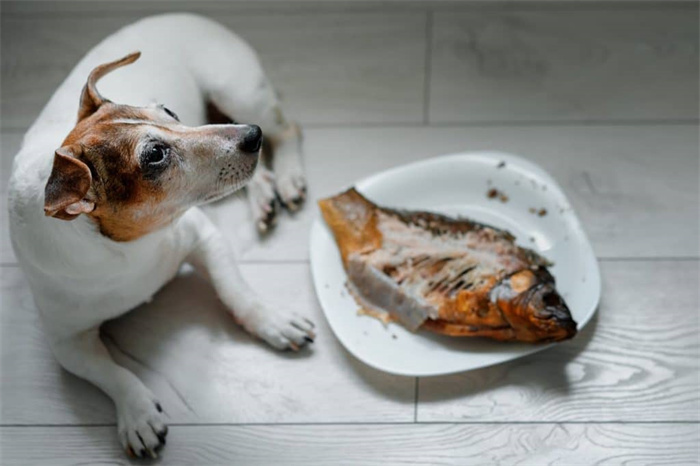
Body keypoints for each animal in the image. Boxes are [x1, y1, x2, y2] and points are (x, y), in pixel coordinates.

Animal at [7, 13, 314, 458]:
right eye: (155, 155)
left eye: (168, 109)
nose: (251, 136)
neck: (127, 246)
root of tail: (190, 15)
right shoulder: (66, 341)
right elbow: (109, 372)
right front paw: (136, 414)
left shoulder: (201, 235)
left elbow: (235, 290)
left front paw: (271, 320)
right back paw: (263, 195)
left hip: (238, 92)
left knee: (287, 130)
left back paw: (288, 177)